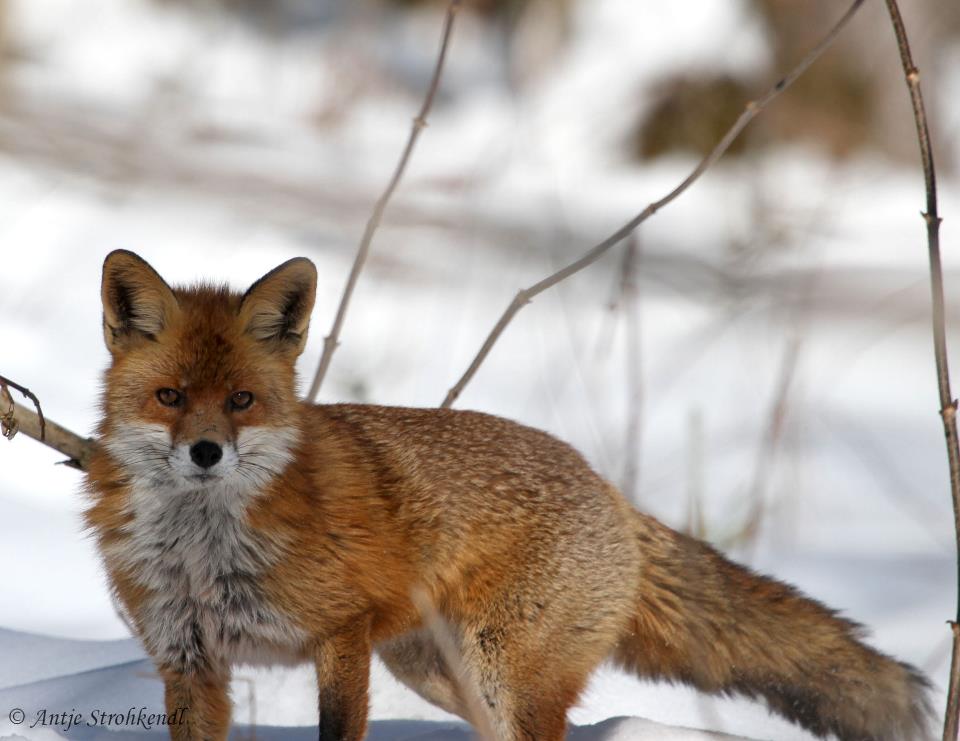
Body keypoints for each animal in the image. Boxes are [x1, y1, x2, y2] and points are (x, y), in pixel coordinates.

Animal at [86, 250, 932, 740]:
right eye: (169, 396)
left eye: (241, 401)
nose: (205, 452)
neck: (204, 552)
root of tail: (605, 484)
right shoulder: (188, 658)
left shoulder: (341, 633)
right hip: (441, 675)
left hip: (501, 677)